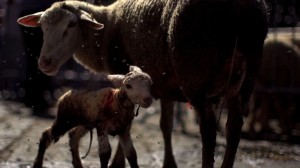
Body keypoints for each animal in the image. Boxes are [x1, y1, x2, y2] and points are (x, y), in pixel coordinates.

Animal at [17, 0, 270, 167]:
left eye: (70, 25)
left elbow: (126, 128)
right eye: (43, 27)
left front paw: (117, 163)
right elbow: (165, 125)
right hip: (245, 79)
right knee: (234, 127)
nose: (45, 63)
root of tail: (242, 10)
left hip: (196, 73)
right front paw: (169, 163)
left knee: (208, 130)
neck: (106, 29)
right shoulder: (165, 84)